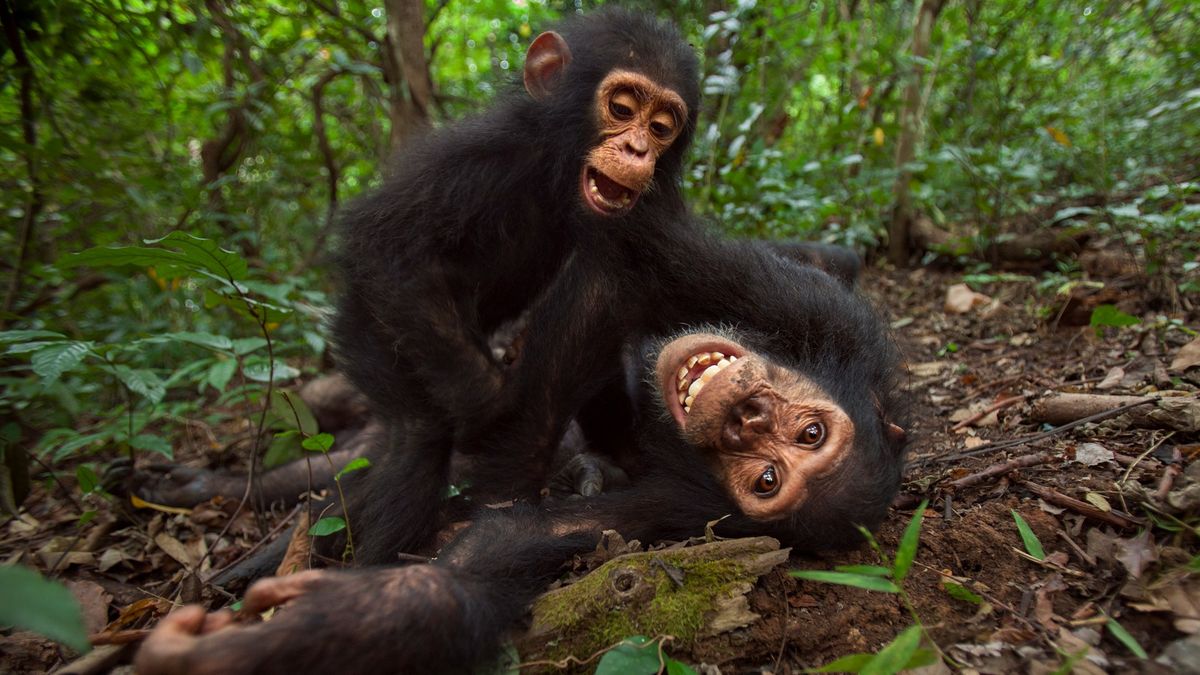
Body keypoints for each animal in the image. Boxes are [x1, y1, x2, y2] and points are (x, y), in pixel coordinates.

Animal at [133, 227, 907, 672]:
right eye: (807, 434)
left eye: (765, 480)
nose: (748, 418)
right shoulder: (828, 320)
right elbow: (630, 269)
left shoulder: (680, 512)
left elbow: (502, 543)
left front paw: (286, 636)